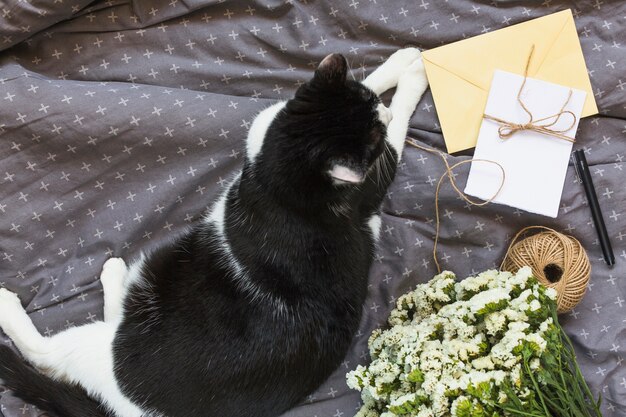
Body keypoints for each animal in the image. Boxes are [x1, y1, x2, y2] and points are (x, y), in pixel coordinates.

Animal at [0, 48, 426, 416]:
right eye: (371, 125)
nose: (382, 115)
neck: (287, 167)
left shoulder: (371, 177)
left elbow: (395, 125)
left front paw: (408, 79)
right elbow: (387, 112)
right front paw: (405, 70)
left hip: (148, 280)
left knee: (53, 352)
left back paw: (94, 280)